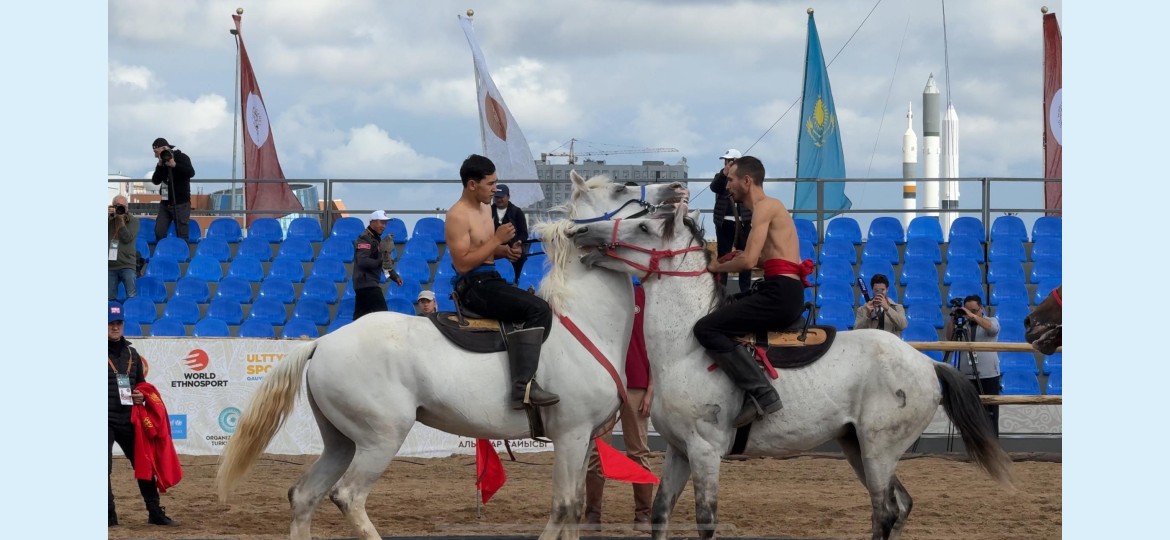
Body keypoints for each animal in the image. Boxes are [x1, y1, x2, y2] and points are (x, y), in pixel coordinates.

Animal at [215, 172, 686, 540]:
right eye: (623, 187)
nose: (676, 189)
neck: (584, 322)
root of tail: (323, 343)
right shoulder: (569, 435)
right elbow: (564, 507)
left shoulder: (585, 438)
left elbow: (574, 509)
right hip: (380, 438)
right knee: (348, 497)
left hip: (341, 441)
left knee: (303, 496)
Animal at [566, 207, 1015, 540]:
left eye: (643, 227)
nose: (580, 233)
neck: (686, 349)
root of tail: (929, 363)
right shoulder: (679, 450)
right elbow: (661, 514)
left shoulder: (705, 450)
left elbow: (705, 520)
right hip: (857, 447)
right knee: (899, 507)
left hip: (879, 450)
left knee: (885, 511)